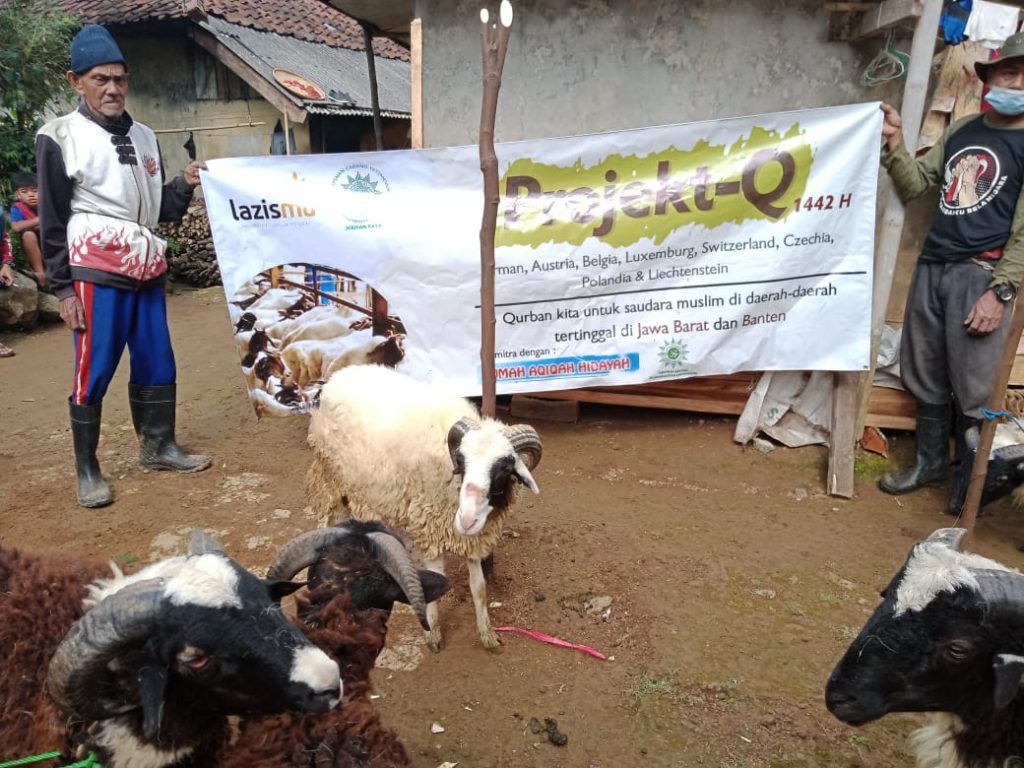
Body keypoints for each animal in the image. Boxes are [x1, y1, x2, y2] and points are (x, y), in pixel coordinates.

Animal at [305, 364, 540, 651]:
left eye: (505, 468)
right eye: (461, 460)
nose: (467, 519)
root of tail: (336, 377)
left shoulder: (473, 539)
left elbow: (479, 588)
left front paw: (487, 635)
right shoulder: (431, 529)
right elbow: (437, 582)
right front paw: (433, 636)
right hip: (330, 477)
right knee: (324, 520)